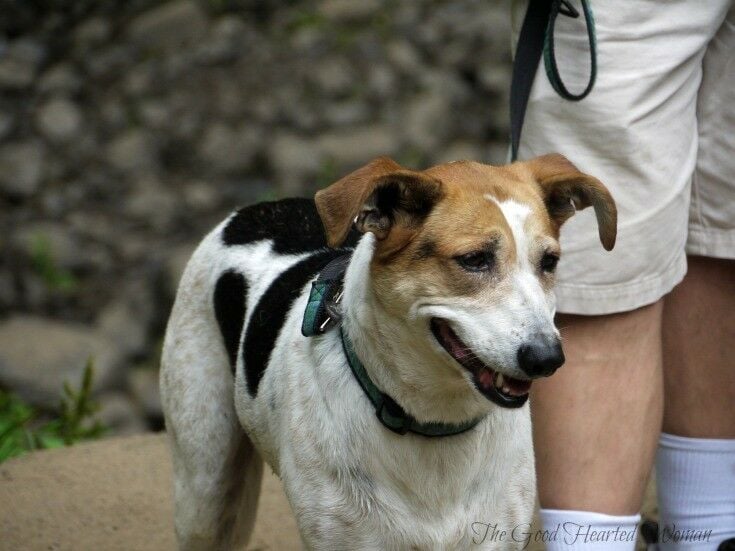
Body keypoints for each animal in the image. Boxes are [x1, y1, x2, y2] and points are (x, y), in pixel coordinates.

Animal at [160, 154, 616, 551]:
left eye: (549, 262)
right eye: (474, 260)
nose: (547, 359)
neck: (432, 424)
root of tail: (252, 211)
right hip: (204, 488)